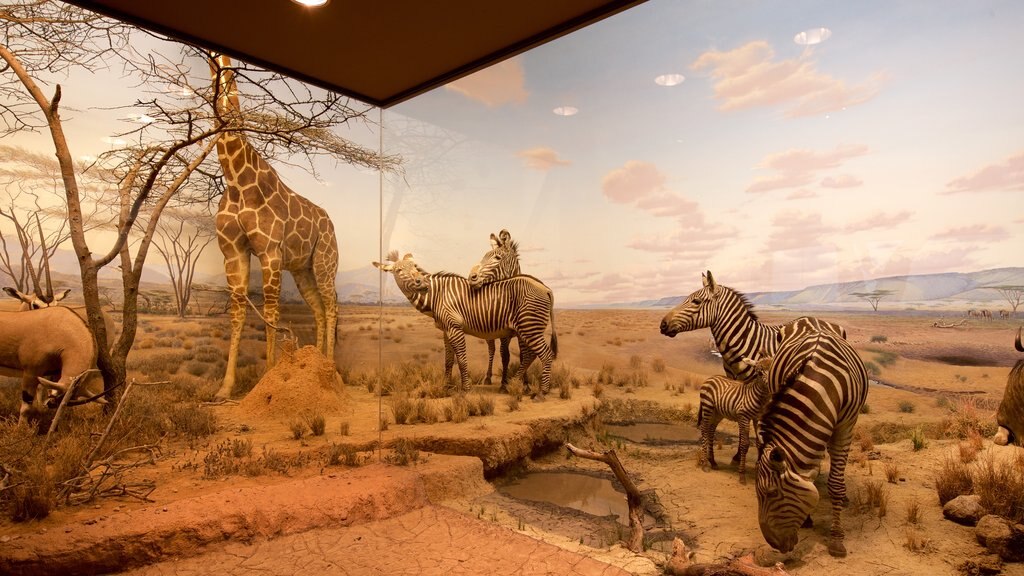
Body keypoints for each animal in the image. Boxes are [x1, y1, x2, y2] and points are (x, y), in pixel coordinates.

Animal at [208, 52, 339, 393]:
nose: (215, 57)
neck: (236, 179)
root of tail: (331, 223)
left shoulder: (269, 251)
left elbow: (270, 311)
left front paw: (267, 375)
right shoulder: (233, 252)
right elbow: (238, 312)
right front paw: (225, 387)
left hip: (325, 262)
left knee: (332, 306)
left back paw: (333, 368)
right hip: (302, 269)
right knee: (319, 309)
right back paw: (318, 362)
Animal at [372, 251, 561, 393]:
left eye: (415, 267)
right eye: (398, 270)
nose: (420, 282)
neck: (436, 295)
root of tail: (545, 287)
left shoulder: (455, 327)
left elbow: (462, 359)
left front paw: (466, 389)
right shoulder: (446, 330)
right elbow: (449, 360)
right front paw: (446, 387)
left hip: (529, 327)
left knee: (544, 354)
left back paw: (541, 391)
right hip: (526, 329)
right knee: (530, 355)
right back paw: (514, 383)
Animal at [468, 227, 524, 385]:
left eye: (497, 258)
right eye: (483, 257)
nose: (471, 278)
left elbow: (520, 355)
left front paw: (524, 383)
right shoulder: (502, 333)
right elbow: (504, 354)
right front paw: (504, 383)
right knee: (492, 349)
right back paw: (488, 377)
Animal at [753, 327, 864, 557]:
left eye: (771, 493)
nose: (773, 544)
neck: (821, 385)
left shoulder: (845, 428)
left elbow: (835, 484)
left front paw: (836, 539)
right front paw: (807, 519)